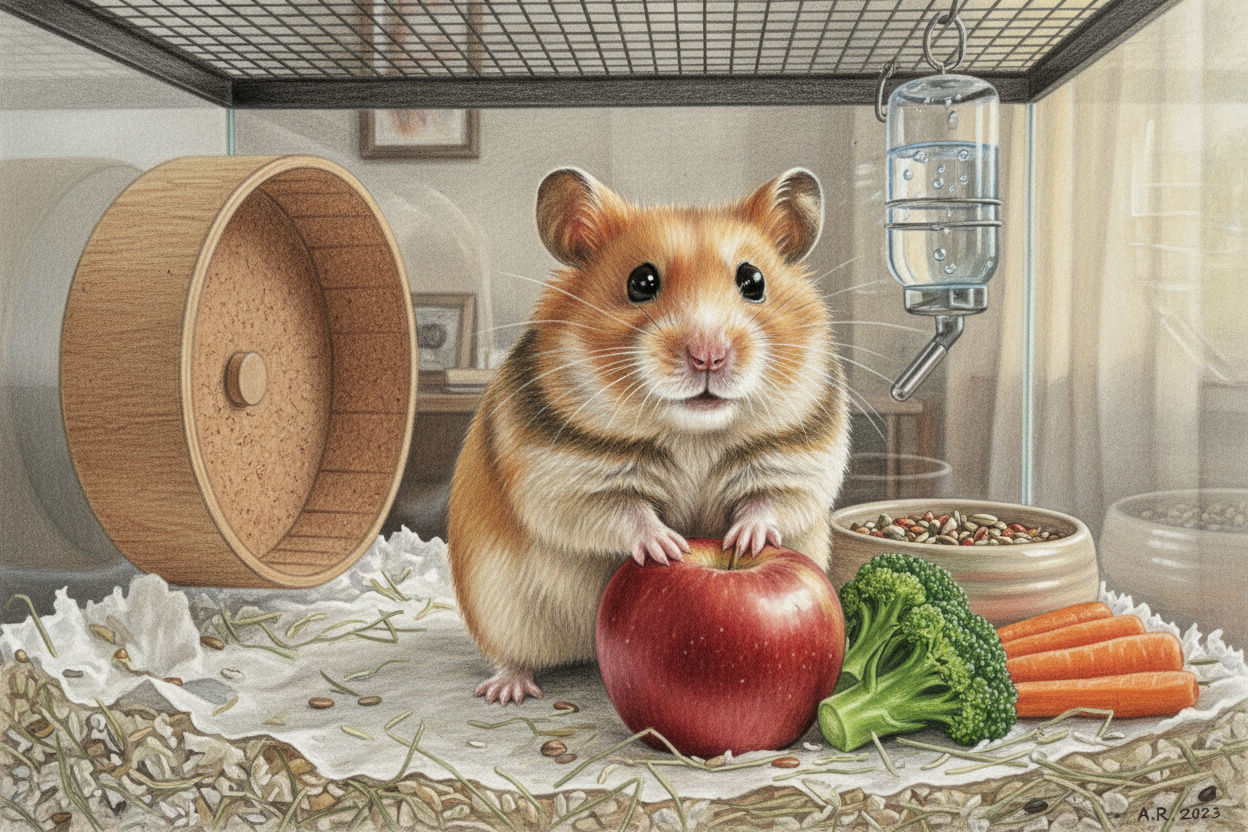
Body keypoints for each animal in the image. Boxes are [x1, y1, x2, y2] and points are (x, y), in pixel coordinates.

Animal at [447, 167, 851, 704]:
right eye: (642, 282)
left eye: (753, 281)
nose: (708, 356)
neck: (693, 435)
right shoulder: (565, 477)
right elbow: (625, 511)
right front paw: (671, 547)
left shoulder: (798, 458)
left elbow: (769, 501)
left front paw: (744, 542)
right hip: (503, 612)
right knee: (514, 654)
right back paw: (506, 691)